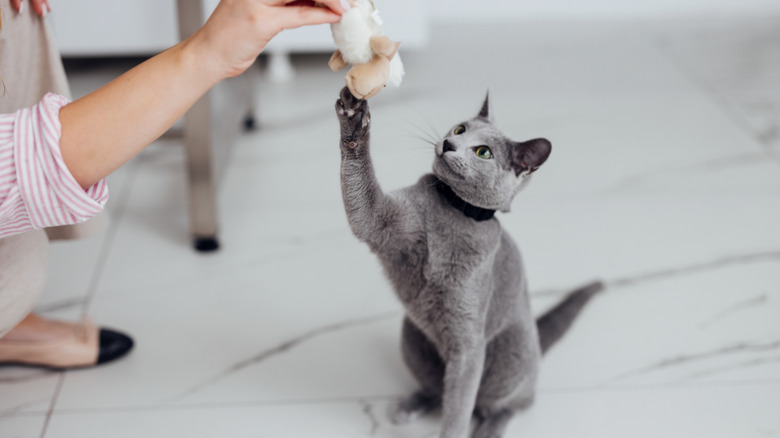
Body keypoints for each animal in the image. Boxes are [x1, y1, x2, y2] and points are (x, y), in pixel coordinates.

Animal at [336, 86, 604, 438]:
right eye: (461, 129)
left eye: (483, 152)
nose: (450, 143)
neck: (454, 210)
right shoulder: (384, 221)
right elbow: (364, 202)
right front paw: (353, 117)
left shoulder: (468, 341)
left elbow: (459, 408)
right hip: (412, 336)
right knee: (437, 388)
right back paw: (409, 406)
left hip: (512, 355)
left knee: (511, 403)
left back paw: (490, 427)